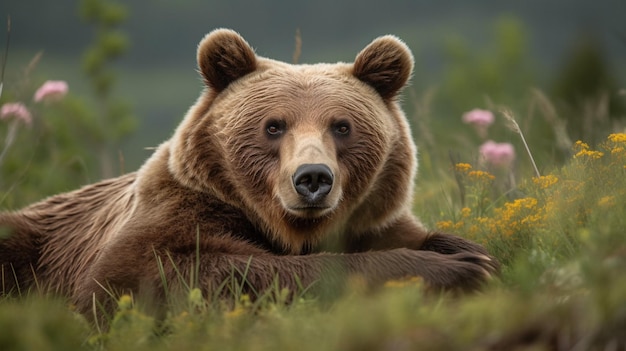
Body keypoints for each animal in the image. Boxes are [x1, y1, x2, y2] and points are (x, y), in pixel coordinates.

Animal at [0, 29, 498, 322]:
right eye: (273, 126)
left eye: (342, 126)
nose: (312, 178)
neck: (287, 227)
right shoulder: (172, 214)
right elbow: (145, 278)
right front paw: (458, 269)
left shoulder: (370, 220)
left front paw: (472, 253)